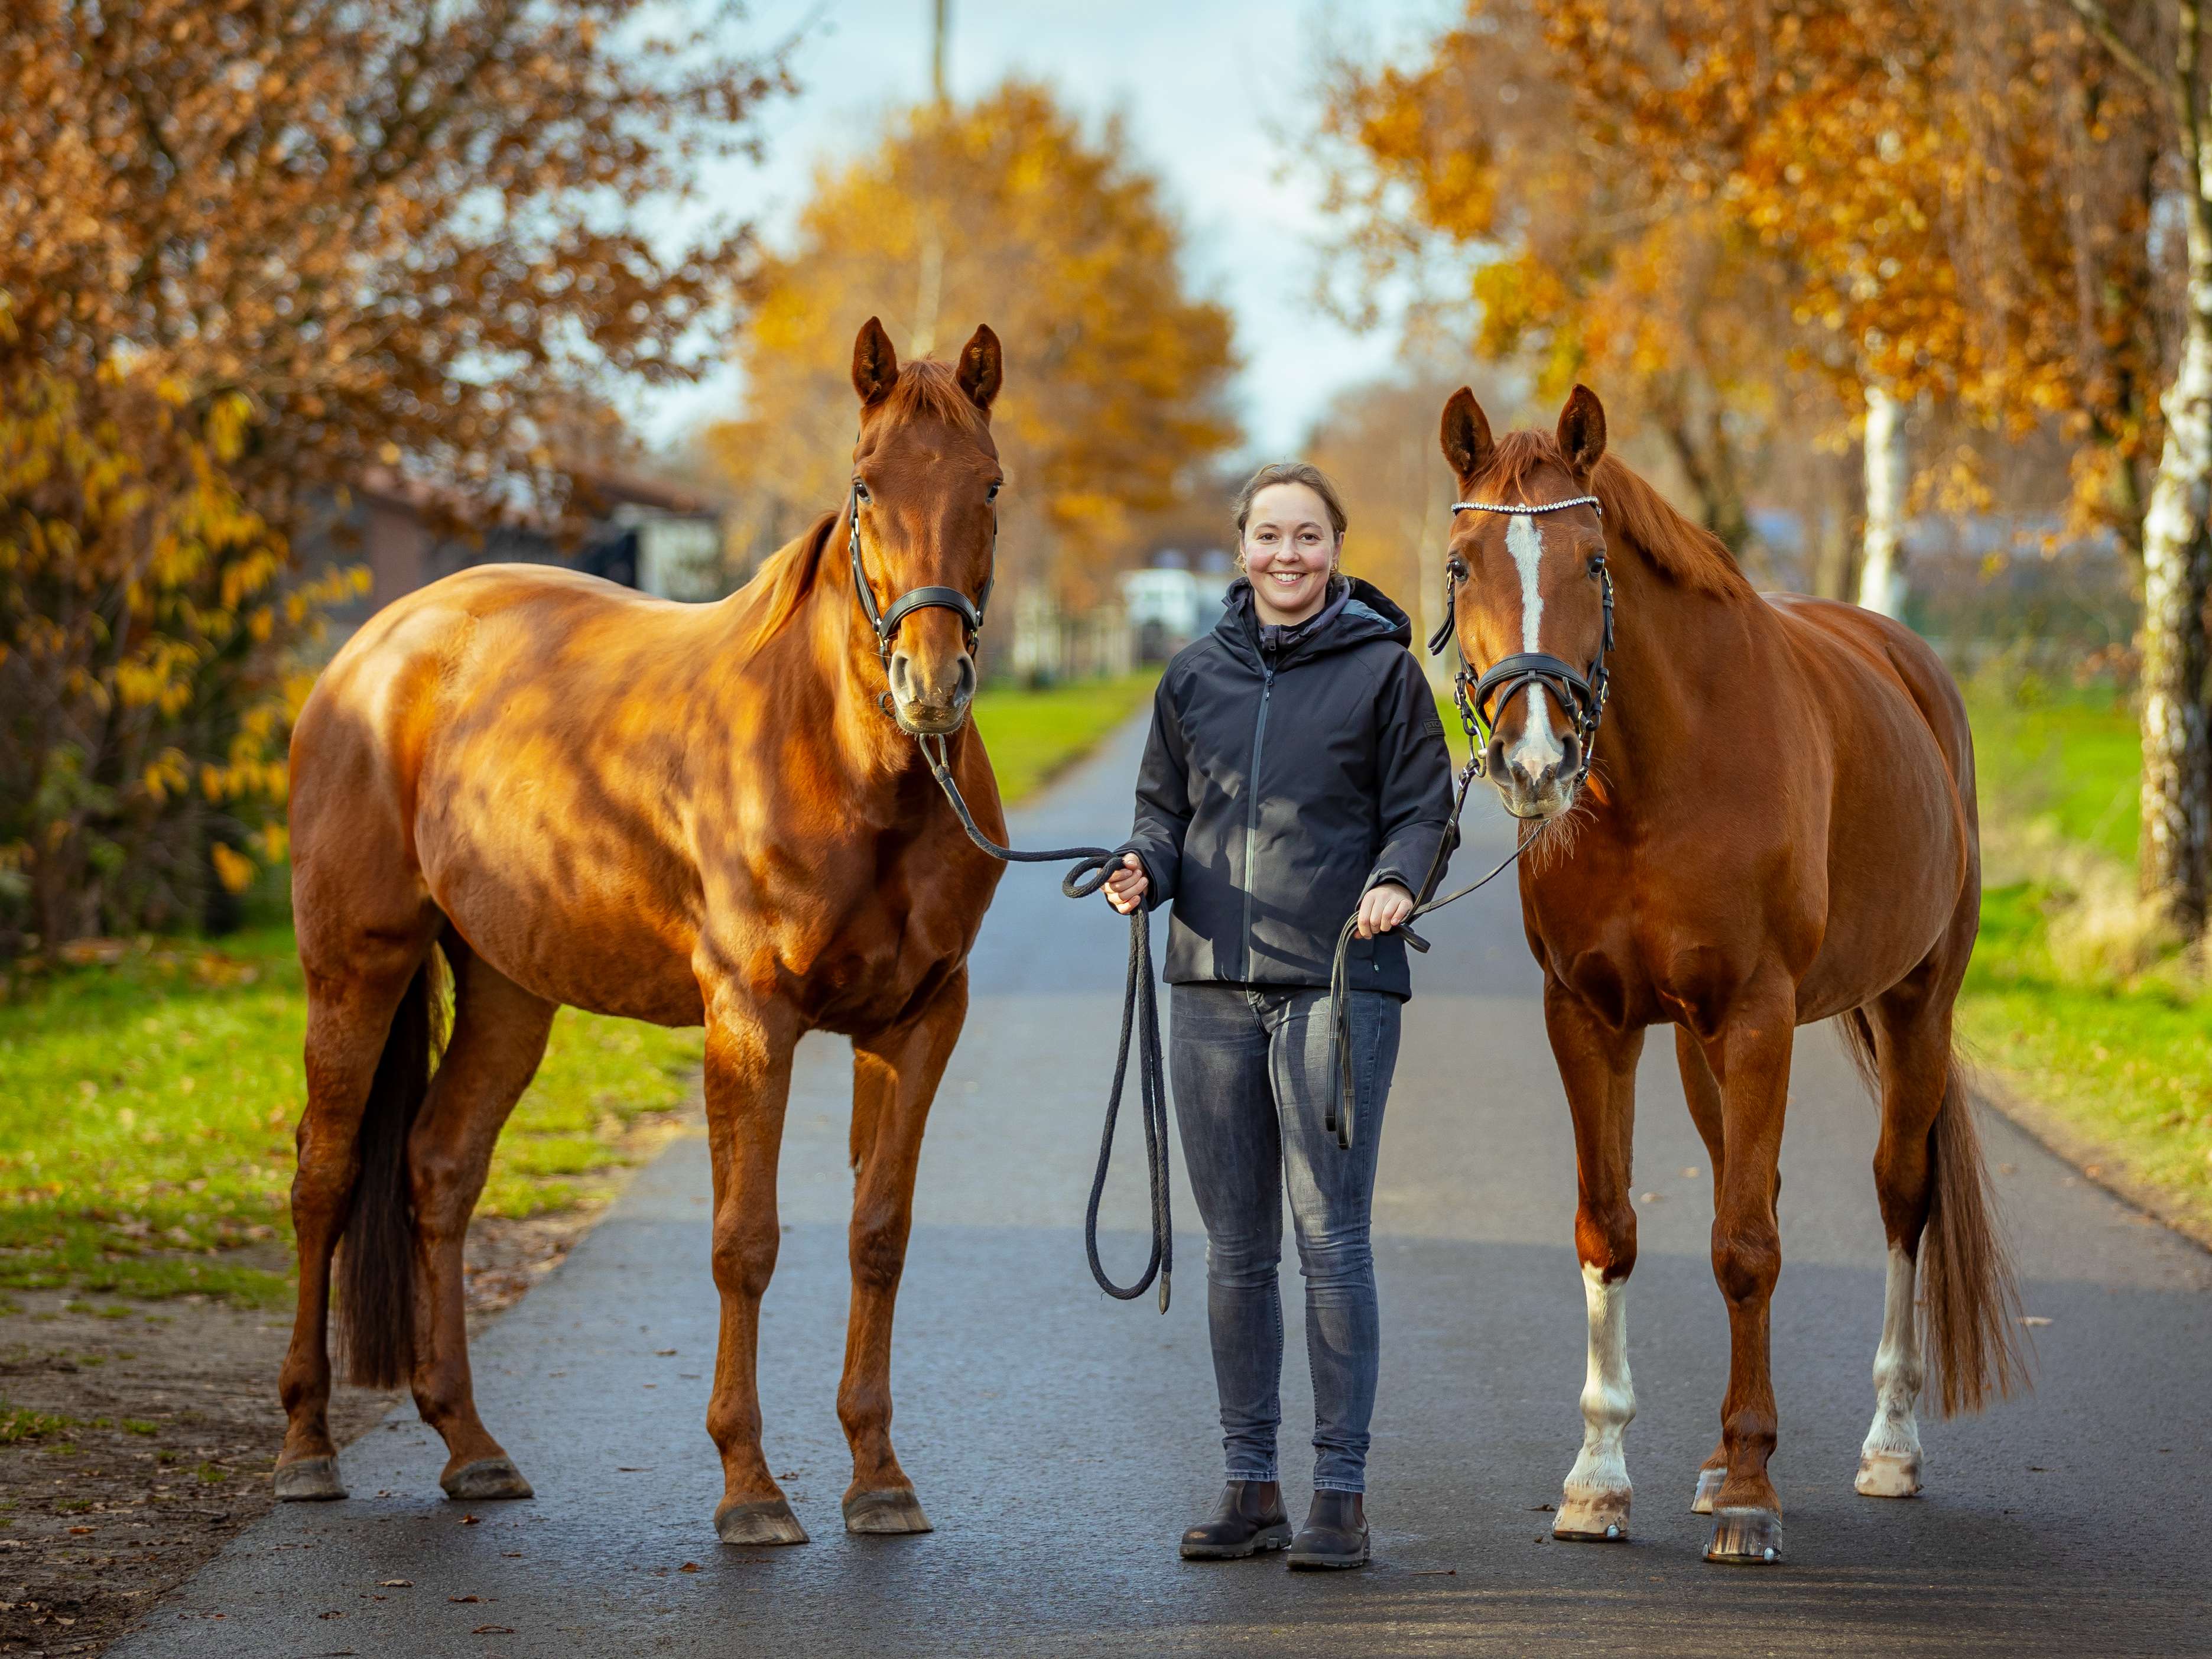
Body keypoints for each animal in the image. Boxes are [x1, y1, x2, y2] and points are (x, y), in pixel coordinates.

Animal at [274, 316, 1010, 1546]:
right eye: (865, 484)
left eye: (989, 483)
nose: (930, 683)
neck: (850, 767)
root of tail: (371, 653)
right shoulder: (750, 1022)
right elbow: (744, 1241)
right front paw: (749, 1487)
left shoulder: (918, 1019)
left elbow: (879, 1234)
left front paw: (878, 1476)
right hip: (354, 967)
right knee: (324, 1178)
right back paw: (305, 1447)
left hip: (510, 989)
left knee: (439, 1168)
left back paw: (470, 1448)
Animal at [1433, 384, 2025, 1564]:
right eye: (1463, 563)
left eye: (1592, 562)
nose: (1534, 759)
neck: (1651, 786)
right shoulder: (1590, 1018)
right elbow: (1610, 1227)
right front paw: (1599, 1479)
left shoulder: (1754, 1015)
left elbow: (1746, 1248)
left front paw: (1754, 1492)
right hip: (1703, 1049)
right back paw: (1712, 1462)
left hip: (1913, 1007)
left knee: (1899, 1194)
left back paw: (1887, 1444)